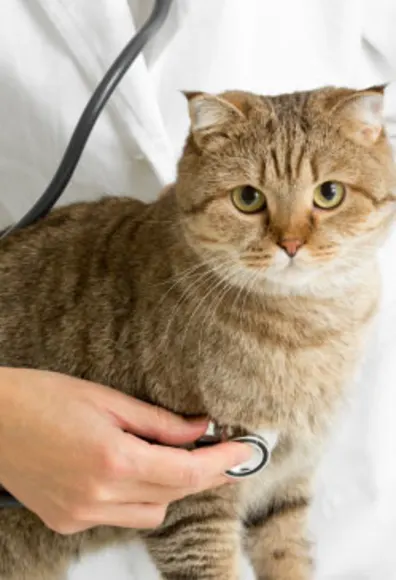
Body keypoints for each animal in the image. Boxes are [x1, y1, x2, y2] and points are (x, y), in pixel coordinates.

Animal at [0, 86, 396, 580]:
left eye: (329, 193)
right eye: (248, 197)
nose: (291, 244)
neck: (307, 330)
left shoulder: (285, 485)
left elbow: (287, 557)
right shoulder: (190, 503)